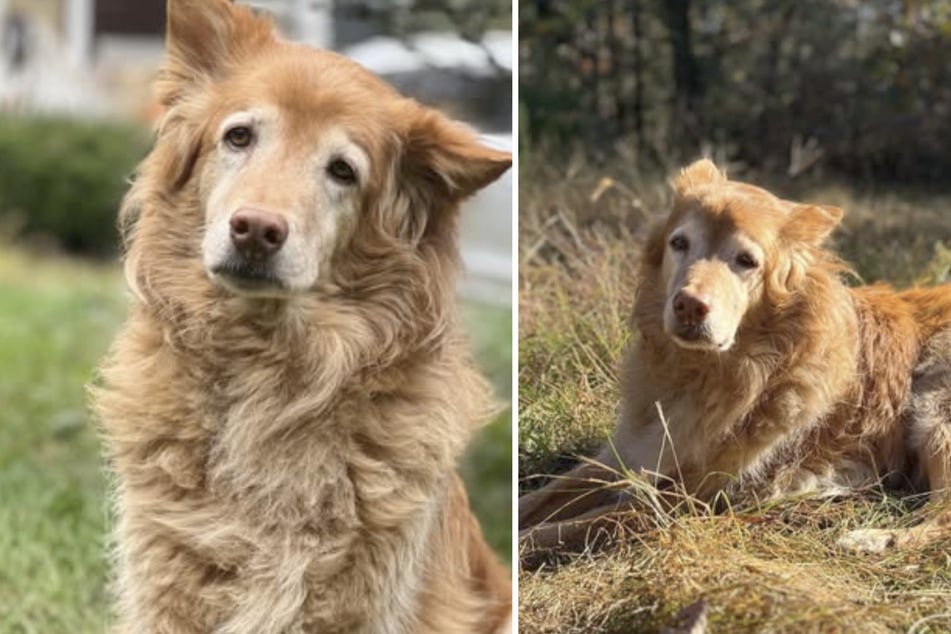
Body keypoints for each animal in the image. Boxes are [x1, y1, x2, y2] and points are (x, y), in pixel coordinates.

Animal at [516, 159, 951, 552]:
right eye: (680, 243)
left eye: (746, 261)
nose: (689, 306)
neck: (706, 373)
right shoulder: (626, 455)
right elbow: (538, 498)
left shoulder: (689, 499)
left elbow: (572, 526)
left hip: (934, 411)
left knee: (942, 516)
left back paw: (874, 539)